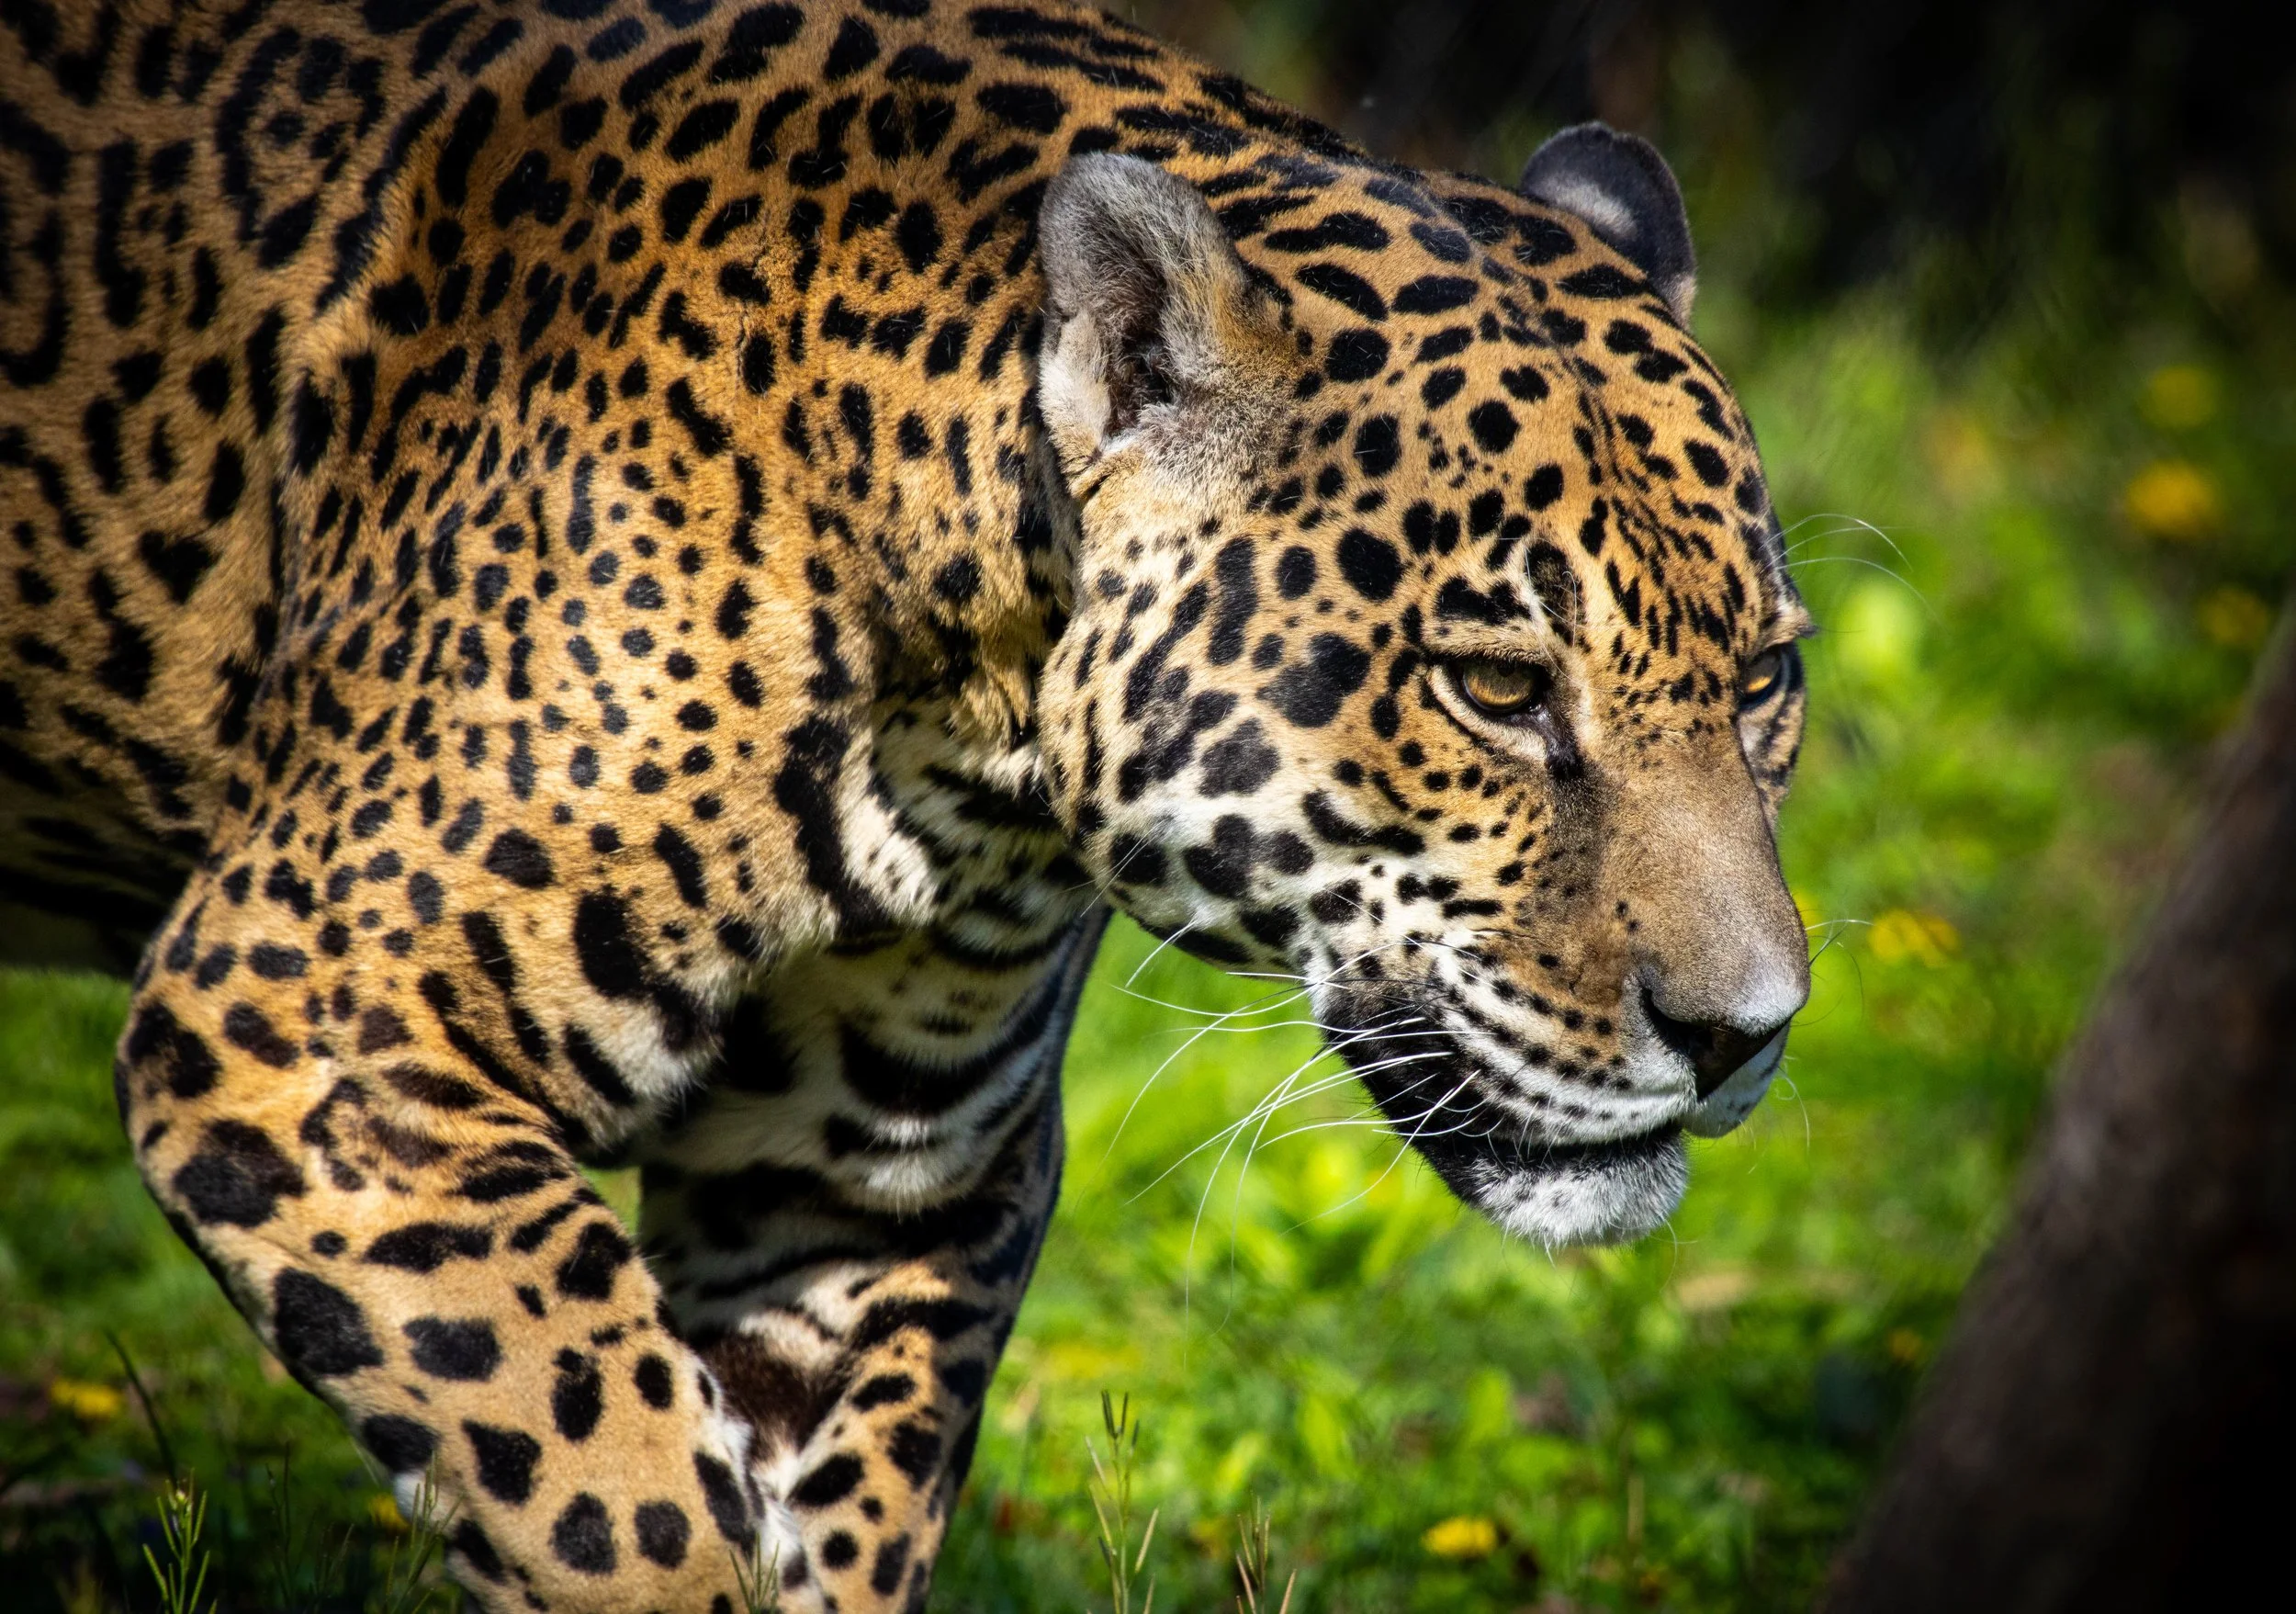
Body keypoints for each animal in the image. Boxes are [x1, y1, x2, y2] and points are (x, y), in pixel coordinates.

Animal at [0, 0, 1812, 1608]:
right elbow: (612, 1495)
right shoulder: (302, 1030)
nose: (1748, 1032)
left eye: (1763, 680)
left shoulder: (851, 1186)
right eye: (1496, 689)